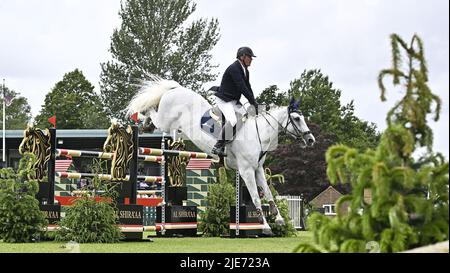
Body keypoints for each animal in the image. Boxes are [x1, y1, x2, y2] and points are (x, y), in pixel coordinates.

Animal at [126, 77, 316, 234]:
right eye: (297, 119)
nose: (311, 140)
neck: (258, 134)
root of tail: (175, 89)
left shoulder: (257, 170)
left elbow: (268, 194)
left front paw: (279, 219)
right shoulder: (246, 170)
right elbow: (256, 197)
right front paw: (266, 227)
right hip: (165, 121)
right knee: (153, 113)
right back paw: (143, 120)